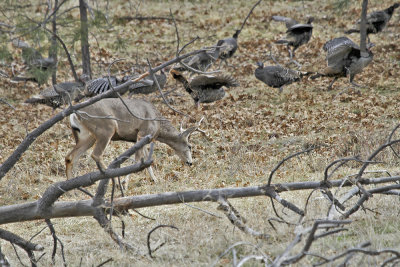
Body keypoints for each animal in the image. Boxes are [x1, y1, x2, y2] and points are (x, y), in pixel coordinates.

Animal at [66, 98, 203, 182]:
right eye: (190, 146)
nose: (190, 163)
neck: (158, 126)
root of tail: (75, 113)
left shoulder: (145, 139)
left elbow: (146, 159)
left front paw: (155, 180)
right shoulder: (142, 133)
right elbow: (138, 160)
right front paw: (125, 183)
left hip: (87, 135)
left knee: (71, 157)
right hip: (107, 128)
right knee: (96, 154)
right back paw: (113, 178)